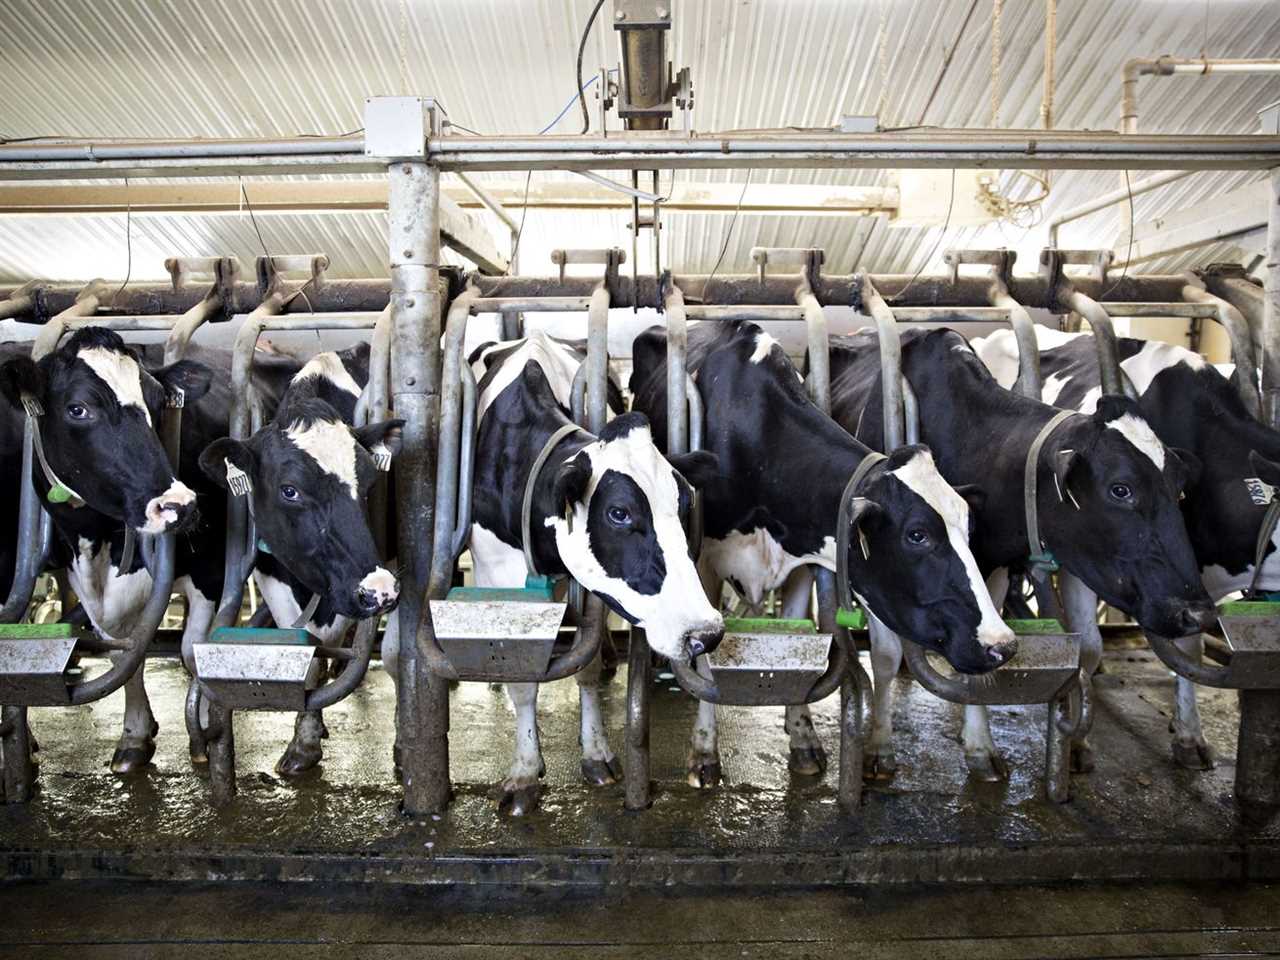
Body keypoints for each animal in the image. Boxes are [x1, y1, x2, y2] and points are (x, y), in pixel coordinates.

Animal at [199, 350, 401, 778]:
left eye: (370, 482)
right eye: (289, 490)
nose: (379, 591)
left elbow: (328, 643)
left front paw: (307, 738)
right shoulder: (271, 567)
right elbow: (307, 653)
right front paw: (305, 741)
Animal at [384, 332, 727, 819]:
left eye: (683, 503)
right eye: (619, 512)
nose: (706, 633)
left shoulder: (594, 591)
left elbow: (585, 665)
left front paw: (597, 752)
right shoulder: (498, 575)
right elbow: (524, 683)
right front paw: (525, 773)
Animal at [624, 323, 1013, 788]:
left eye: (968, 529)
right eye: (917, 534)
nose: (1003, 645)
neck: (761, 442)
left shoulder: (801, 563)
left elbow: (799, 641)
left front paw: (802, 736)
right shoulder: (703, 564)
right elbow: (704, 660)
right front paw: (704, 754)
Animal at [824, 330, 1213, 783]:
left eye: (1180, 488)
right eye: (1121, 489)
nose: (1198, 613)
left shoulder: (988, 569)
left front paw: (982, 746)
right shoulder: (877, 573)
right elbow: (886, 656)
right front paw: (879, 747)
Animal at [967, 327, 1280, 773]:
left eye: (1180, 490)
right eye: (1122, 491)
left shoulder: (1189, 586)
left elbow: (1190, 647)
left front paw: (1190, 736)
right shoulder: (1083, 563)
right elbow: (1088, 647)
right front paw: (1075, 744)